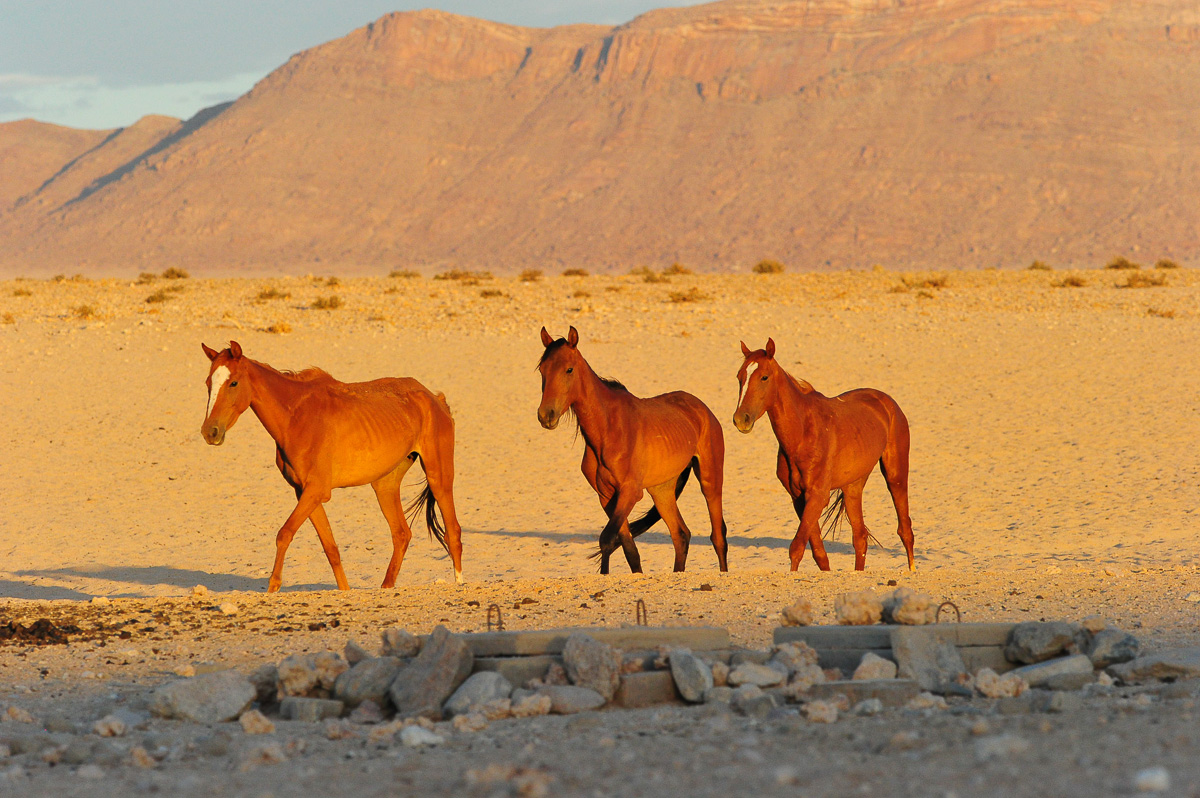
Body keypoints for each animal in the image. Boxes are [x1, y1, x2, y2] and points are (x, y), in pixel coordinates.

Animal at [199, 341, 464, 591]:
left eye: (233, 383)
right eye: (208, 383)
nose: (210, 432)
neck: (296, 417)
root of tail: (434, 399)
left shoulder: (316, 491)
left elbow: (284, 534)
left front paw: (273, 586)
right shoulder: (305, 493)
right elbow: (331, 548)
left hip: (438, 478)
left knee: (453, 532)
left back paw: (459, 583)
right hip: (384, 485)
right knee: (401, 534)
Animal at [536, 326, 729, 574]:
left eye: (569, 369)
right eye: (542, 370)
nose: (546, 415)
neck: (607, 429)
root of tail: (702, 409)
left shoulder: (629, 493)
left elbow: (607, 539)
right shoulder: (606, 496)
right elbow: (629, 549)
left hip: (710, 480)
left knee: (718, 537)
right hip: (662, 491)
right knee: (681, 535)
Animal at [733, 338, 915, 572]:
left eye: (764, 377)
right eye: (740, 377)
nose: (741, 419)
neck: (803, 432)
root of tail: (887, 401)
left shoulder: (818, 495)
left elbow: (797, 547)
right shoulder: (799, 498)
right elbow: (819, 553)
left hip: (896, 475)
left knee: (905, 530)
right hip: (853, 486)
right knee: (860, 537)